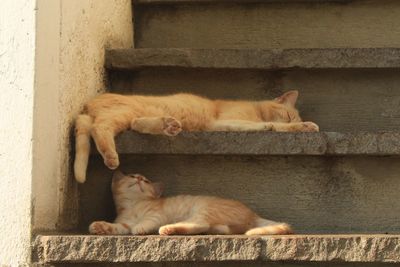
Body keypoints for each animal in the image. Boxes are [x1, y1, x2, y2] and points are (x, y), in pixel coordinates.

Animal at [74, 91, 318, 183]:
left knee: (135, 124)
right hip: (121, 113)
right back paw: (110, 156)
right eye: (288, 115)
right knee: (99, 127)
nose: (293, 120)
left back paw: (169, 125)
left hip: (130, 116)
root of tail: (88, 103)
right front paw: (303, 126)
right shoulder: (224, 122)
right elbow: (271, 126)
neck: (256, 110)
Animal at [89, 172, 292, 237]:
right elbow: (118, 227)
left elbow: (146, 221)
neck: (133, 205)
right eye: (132, 176)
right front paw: (100, 226)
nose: (139, 178)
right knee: (215, 228)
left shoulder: (156, 214)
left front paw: (140, 228)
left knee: (199, 224)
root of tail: (252, 213)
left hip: (204, 209)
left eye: (146, 181)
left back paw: (169, 229)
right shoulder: (124, 222)